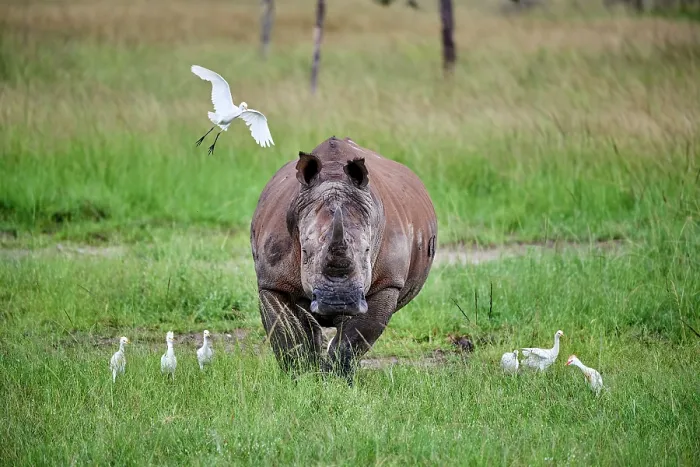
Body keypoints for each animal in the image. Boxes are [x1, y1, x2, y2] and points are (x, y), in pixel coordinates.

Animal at [250, 136, 437, 383]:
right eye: (305, 252)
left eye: (367, 250)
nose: (338, 302)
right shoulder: (272, 282)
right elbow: (288, 336)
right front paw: (300, 379)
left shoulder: (387, 283)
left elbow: (353, 340)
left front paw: (336, 381)